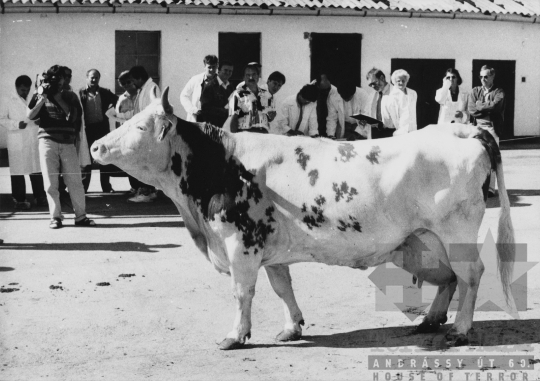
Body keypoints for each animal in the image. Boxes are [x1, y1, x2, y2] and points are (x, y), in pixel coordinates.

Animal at [92, 88, 516, 348]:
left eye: (140, 125)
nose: (96, 146)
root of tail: (464, 129)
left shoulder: (239, 244)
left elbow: (242, 292)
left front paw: (235, 335)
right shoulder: (268, 247)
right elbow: (282, 288)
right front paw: (291, 327)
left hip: (457, 233)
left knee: (470, 275)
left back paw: (460, 329)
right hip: (423, 240)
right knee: (448, 278)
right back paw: (431, 319)